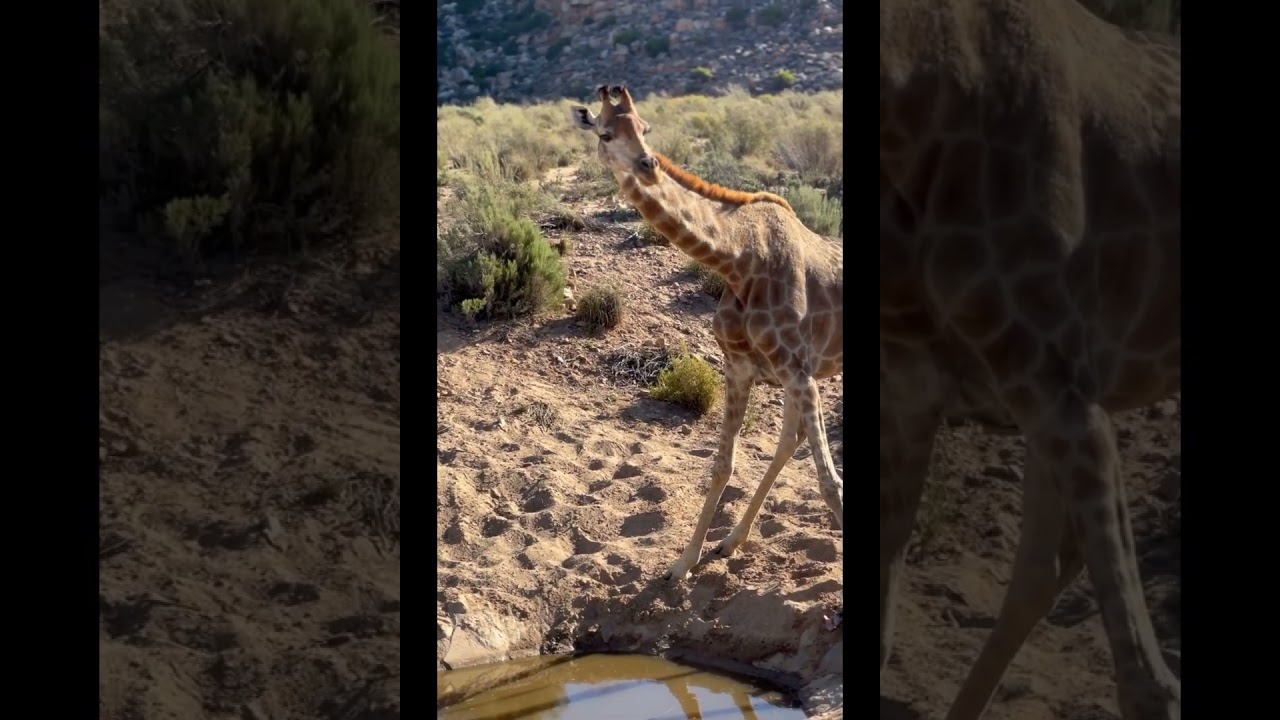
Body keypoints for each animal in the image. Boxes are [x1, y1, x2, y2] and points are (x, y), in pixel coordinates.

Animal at [568, 85, 844, 586]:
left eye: (646, 128)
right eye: (604, 133)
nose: (648, 165)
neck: (737, 261)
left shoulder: (799, 373)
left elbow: (829, 482)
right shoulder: (744, 367)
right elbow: (721, 466)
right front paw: (683, 564)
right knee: (788, 440)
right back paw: (731, 541)